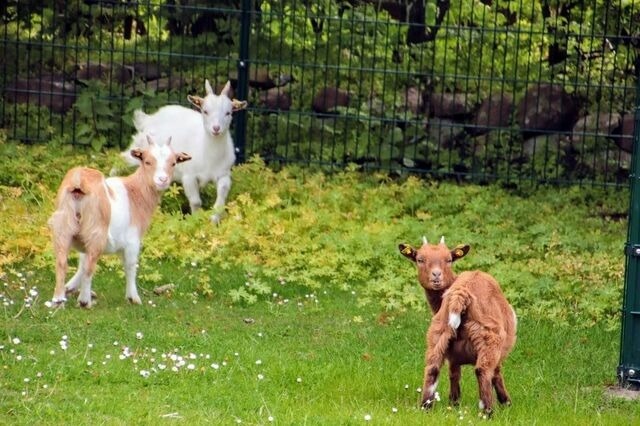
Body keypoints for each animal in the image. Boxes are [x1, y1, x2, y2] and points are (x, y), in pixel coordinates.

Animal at [49, 136, 190, 306]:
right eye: (147, 161)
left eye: (174, 163)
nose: (162, 179)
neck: (136, 192)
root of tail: (78, 182)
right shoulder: (132, 240)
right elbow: (130, 266)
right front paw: (133, 297)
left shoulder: (84, 241)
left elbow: (81, 263)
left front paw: (70, 287)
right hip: (96, 231)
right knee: (90, 266)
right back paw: (85, 301)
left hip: (63, 227)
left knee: (62, 262)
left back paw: (58, 299)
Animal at [122, 80, 248, 226]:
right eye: (205, 111)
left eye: (228, 113)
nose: (216, 128)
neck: (210, 157)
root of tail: (150, 118)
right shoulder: (189, 176)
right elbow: (196, 202)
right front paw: (196, 221)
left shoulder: (224, 174)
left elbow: (220, 201)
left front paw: (214, 221)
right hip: (139, 148)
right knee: (121, 159)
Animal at [400, 235, 520, 414]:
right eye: (420, 259)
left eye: (449, 260)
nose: (436, 276)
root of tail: (460, 294)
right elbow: (497, 373)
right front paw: (506, 403)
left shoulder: (453, 355)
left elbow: (454, 374)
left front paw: (454, 403)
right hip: (489, 337)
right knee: (483, 370)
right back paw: (488, 412)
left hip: (438, 332)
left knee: (432, 368)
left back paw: (425, 407)